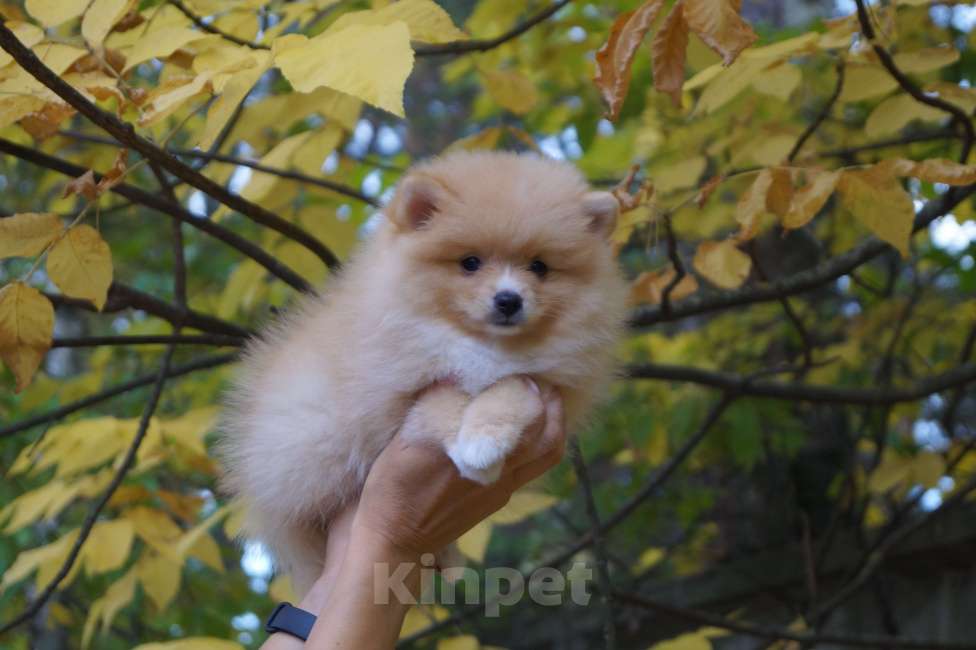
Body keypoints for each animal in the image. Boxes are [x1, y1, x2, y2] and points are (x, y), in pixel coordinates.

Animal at [217, 148, 628, 592]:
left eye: (539, 267)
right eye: (470, 263)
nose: (508, 300)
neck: (483, 346)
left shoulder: (547, 382)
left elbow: (511, 389)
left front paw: (484, 439)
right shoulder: (398, 389)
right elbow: (441, 402)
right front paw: (476, 453)